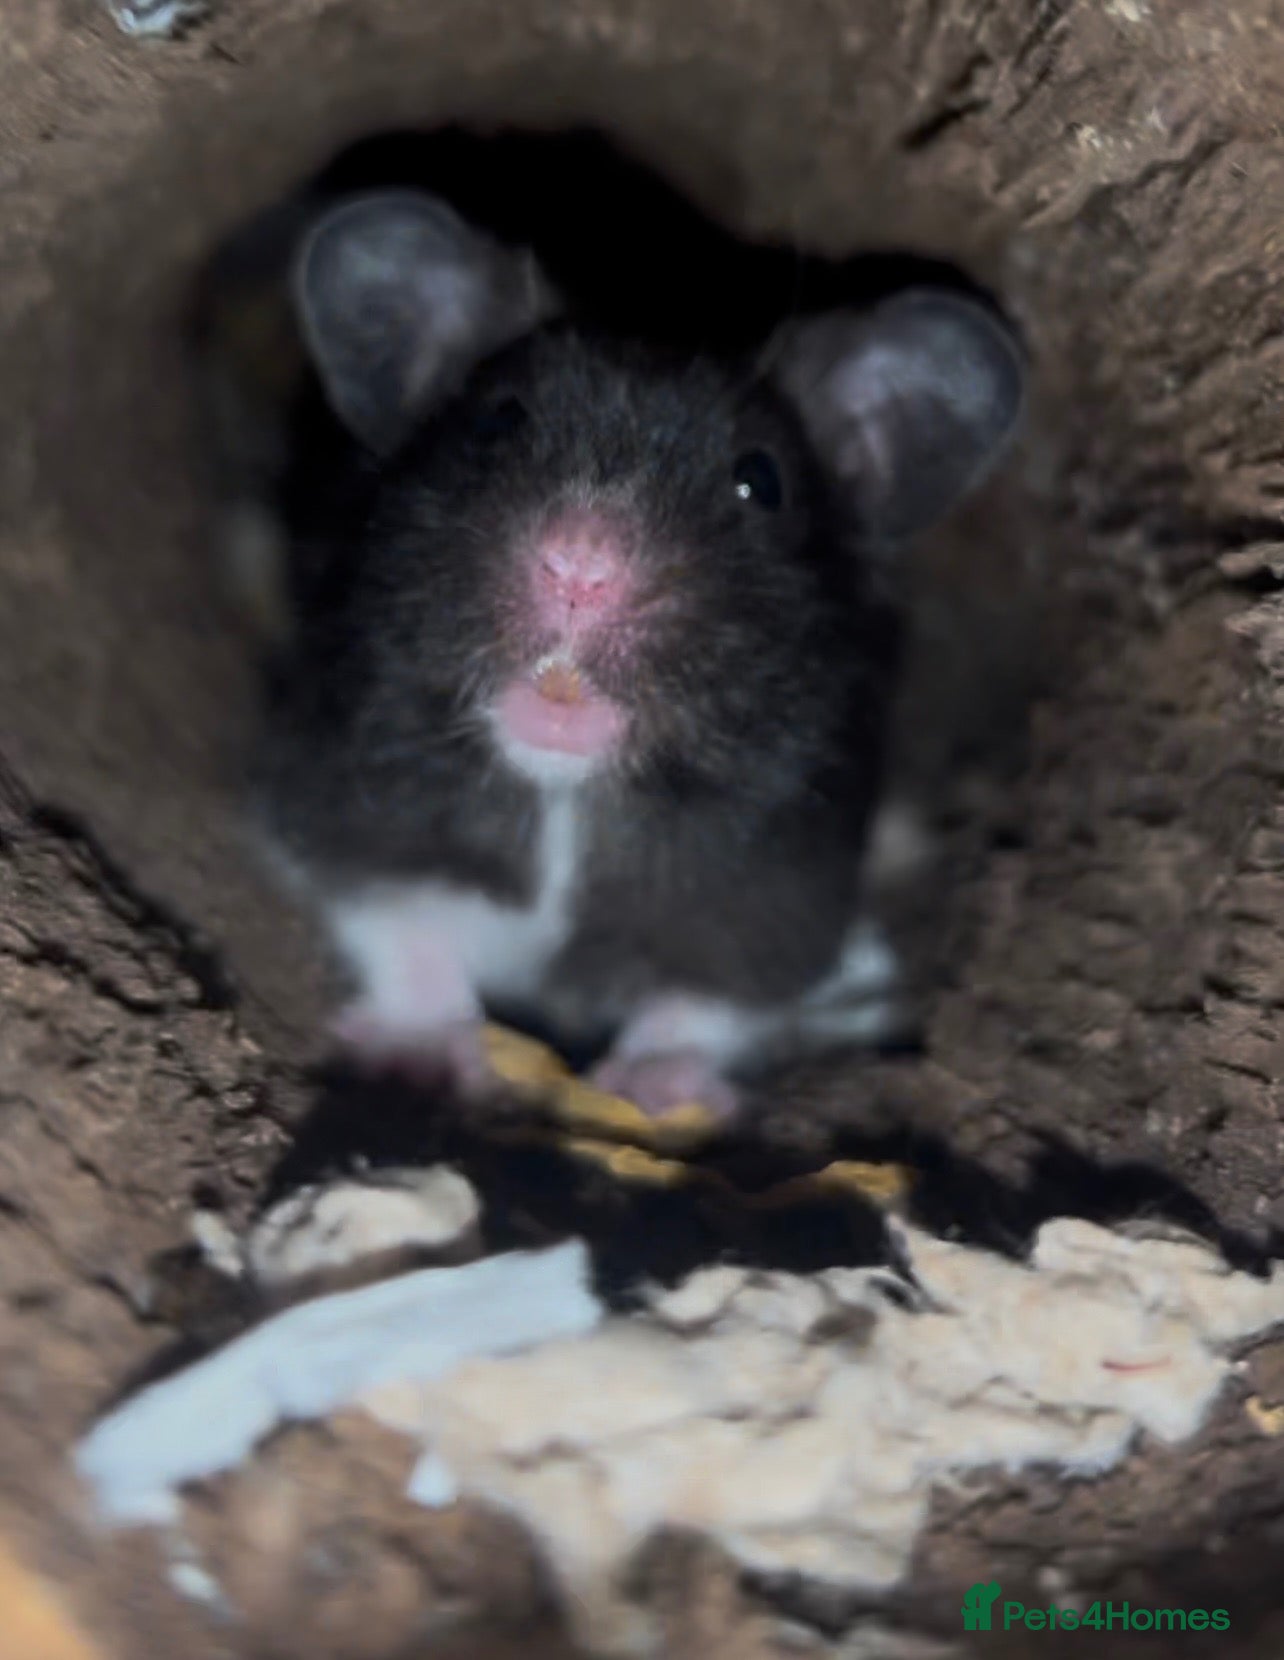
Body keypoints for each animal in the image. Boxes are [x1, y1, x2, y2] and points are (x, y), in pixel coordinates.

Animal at [250, 190, 1024, 1119]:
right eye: (496, 423)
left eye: (759, 481)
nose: (581, 566)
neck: (568, 795)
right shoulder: (346, 797)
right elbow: (402, 923)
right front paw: (416, 1063)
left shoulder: (773, 891)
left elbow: (707, 1000)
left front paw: (656, 1092)